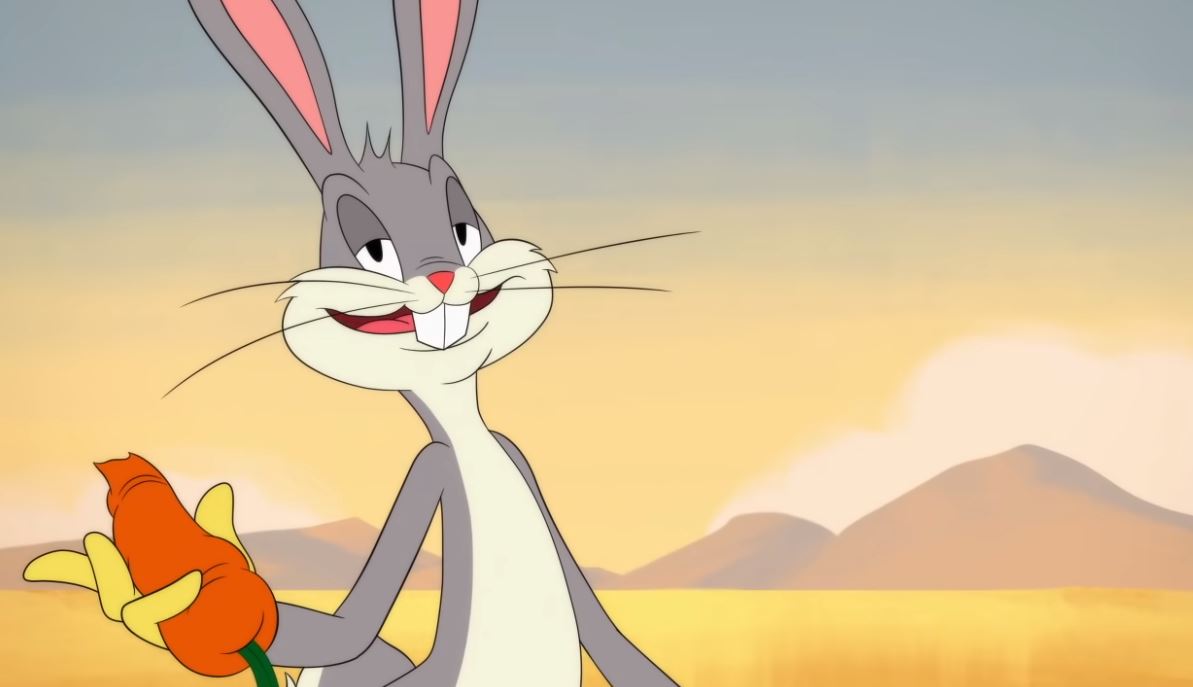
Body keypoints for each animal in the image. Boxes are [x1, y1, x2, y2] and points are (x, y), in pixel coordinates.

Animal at [27, 1, 680, 686]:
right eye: (373, 249)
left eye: (464, 228)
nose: (443, 276)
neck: (468, 438)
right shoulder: (430, 470)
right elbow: (351, 627)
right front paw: (161, 604)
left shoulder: (517, 458)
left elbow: (604, 627)